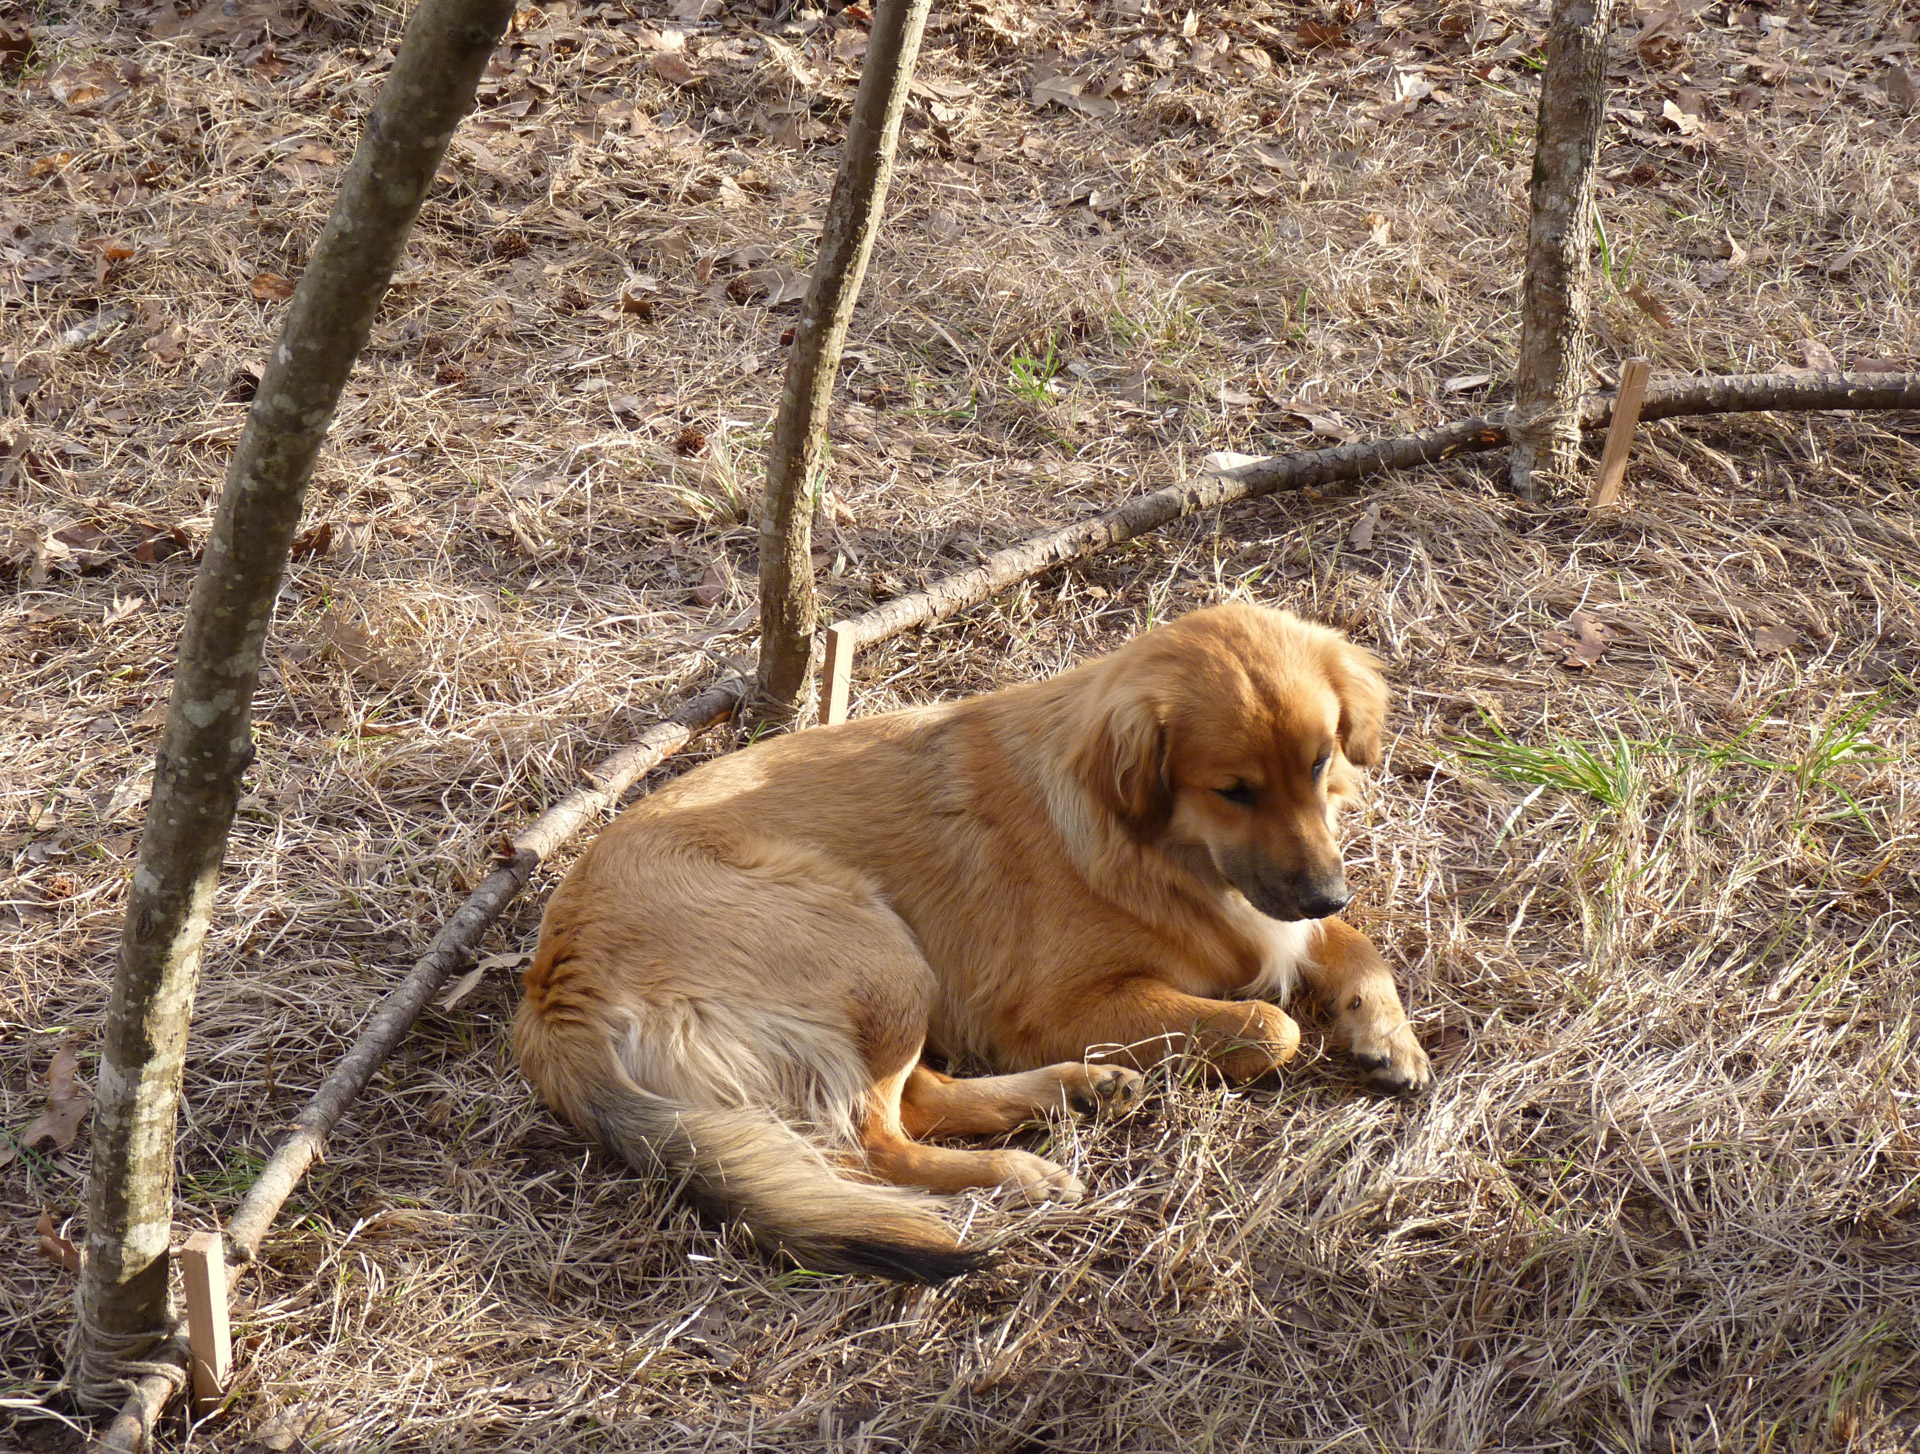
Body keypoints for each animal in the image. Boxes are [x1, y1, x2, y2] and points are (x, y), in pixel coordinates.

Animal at [518, 606, 1436, 1275]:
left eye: (1318, 764)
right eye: (1234, 790)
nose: (1327, 889)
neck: (1150, 843)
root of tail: (553, 992)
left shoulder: (1271, 915)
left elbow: (1354, 945)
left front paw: (1387, 1035)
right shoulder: (1055, 1008)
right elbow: (1271, 1025)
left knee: (915, 1098)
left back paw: (1080, 1092)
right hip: (877, 948)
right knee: (873, 1142)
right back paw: (1014, 1173)